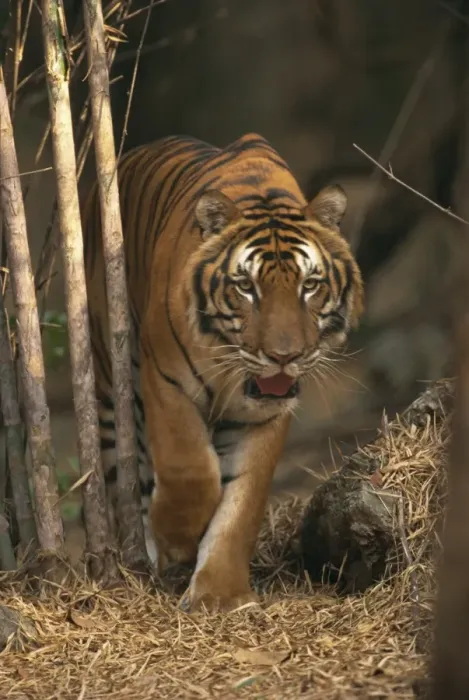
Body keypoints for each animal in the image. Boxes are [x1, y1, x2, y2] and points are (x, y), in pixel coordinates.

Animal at [82, 133, 364, 612]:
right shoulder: (168, 384)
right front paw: (179, 541)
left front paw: (219, 594)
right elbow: (191, 471)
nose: (284, 356)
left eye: (309, 285)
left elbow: (242, 503)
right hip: (107, 386)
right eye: (246, 287)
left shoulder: (267, 412)